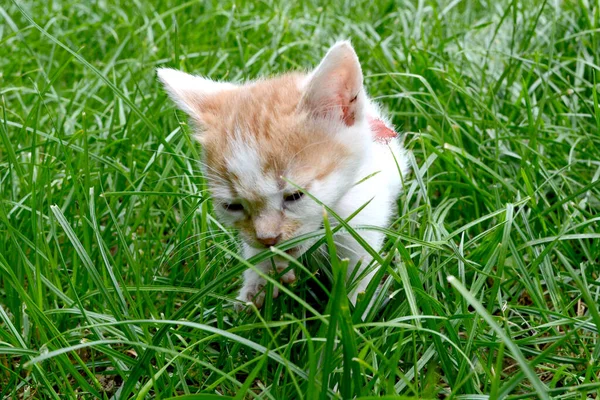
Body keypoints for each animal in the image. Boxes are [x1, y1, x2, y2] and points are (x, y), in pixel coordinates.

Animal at [157, 41, 410, 310]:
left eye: (295, 196)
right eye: (232, 206)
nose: (268, 238)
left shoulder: (364, 217)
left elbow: (359, 274)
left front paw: (353, 311)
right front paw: (256, 288)